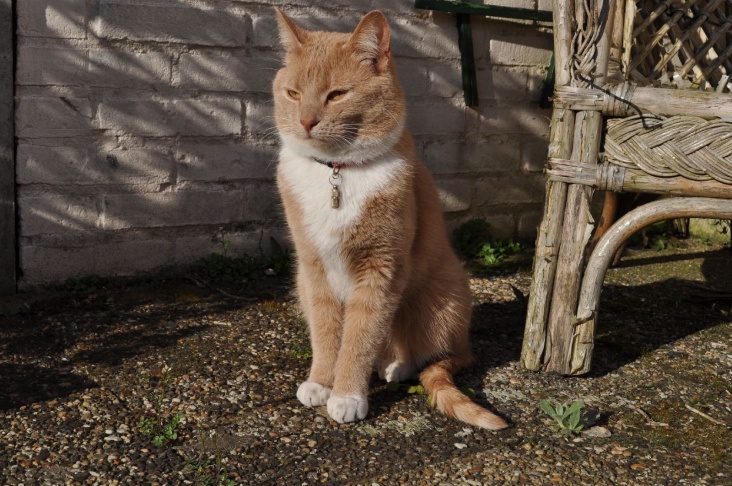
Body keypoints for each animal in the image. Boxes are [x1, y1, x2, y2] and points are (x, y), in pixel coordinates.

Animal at [272, 8, 508, 430]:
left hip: (440, 299)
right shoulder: (312, 269)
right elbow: (326, 331)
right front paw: (321, 382)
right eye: (293, 94)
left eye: (337, 94)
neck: (338, 172)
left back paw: (396, 366)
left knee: (428, 353)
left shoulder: (380, 270)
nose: (306, 122)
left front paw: (347, 395)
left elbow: (360, 335)